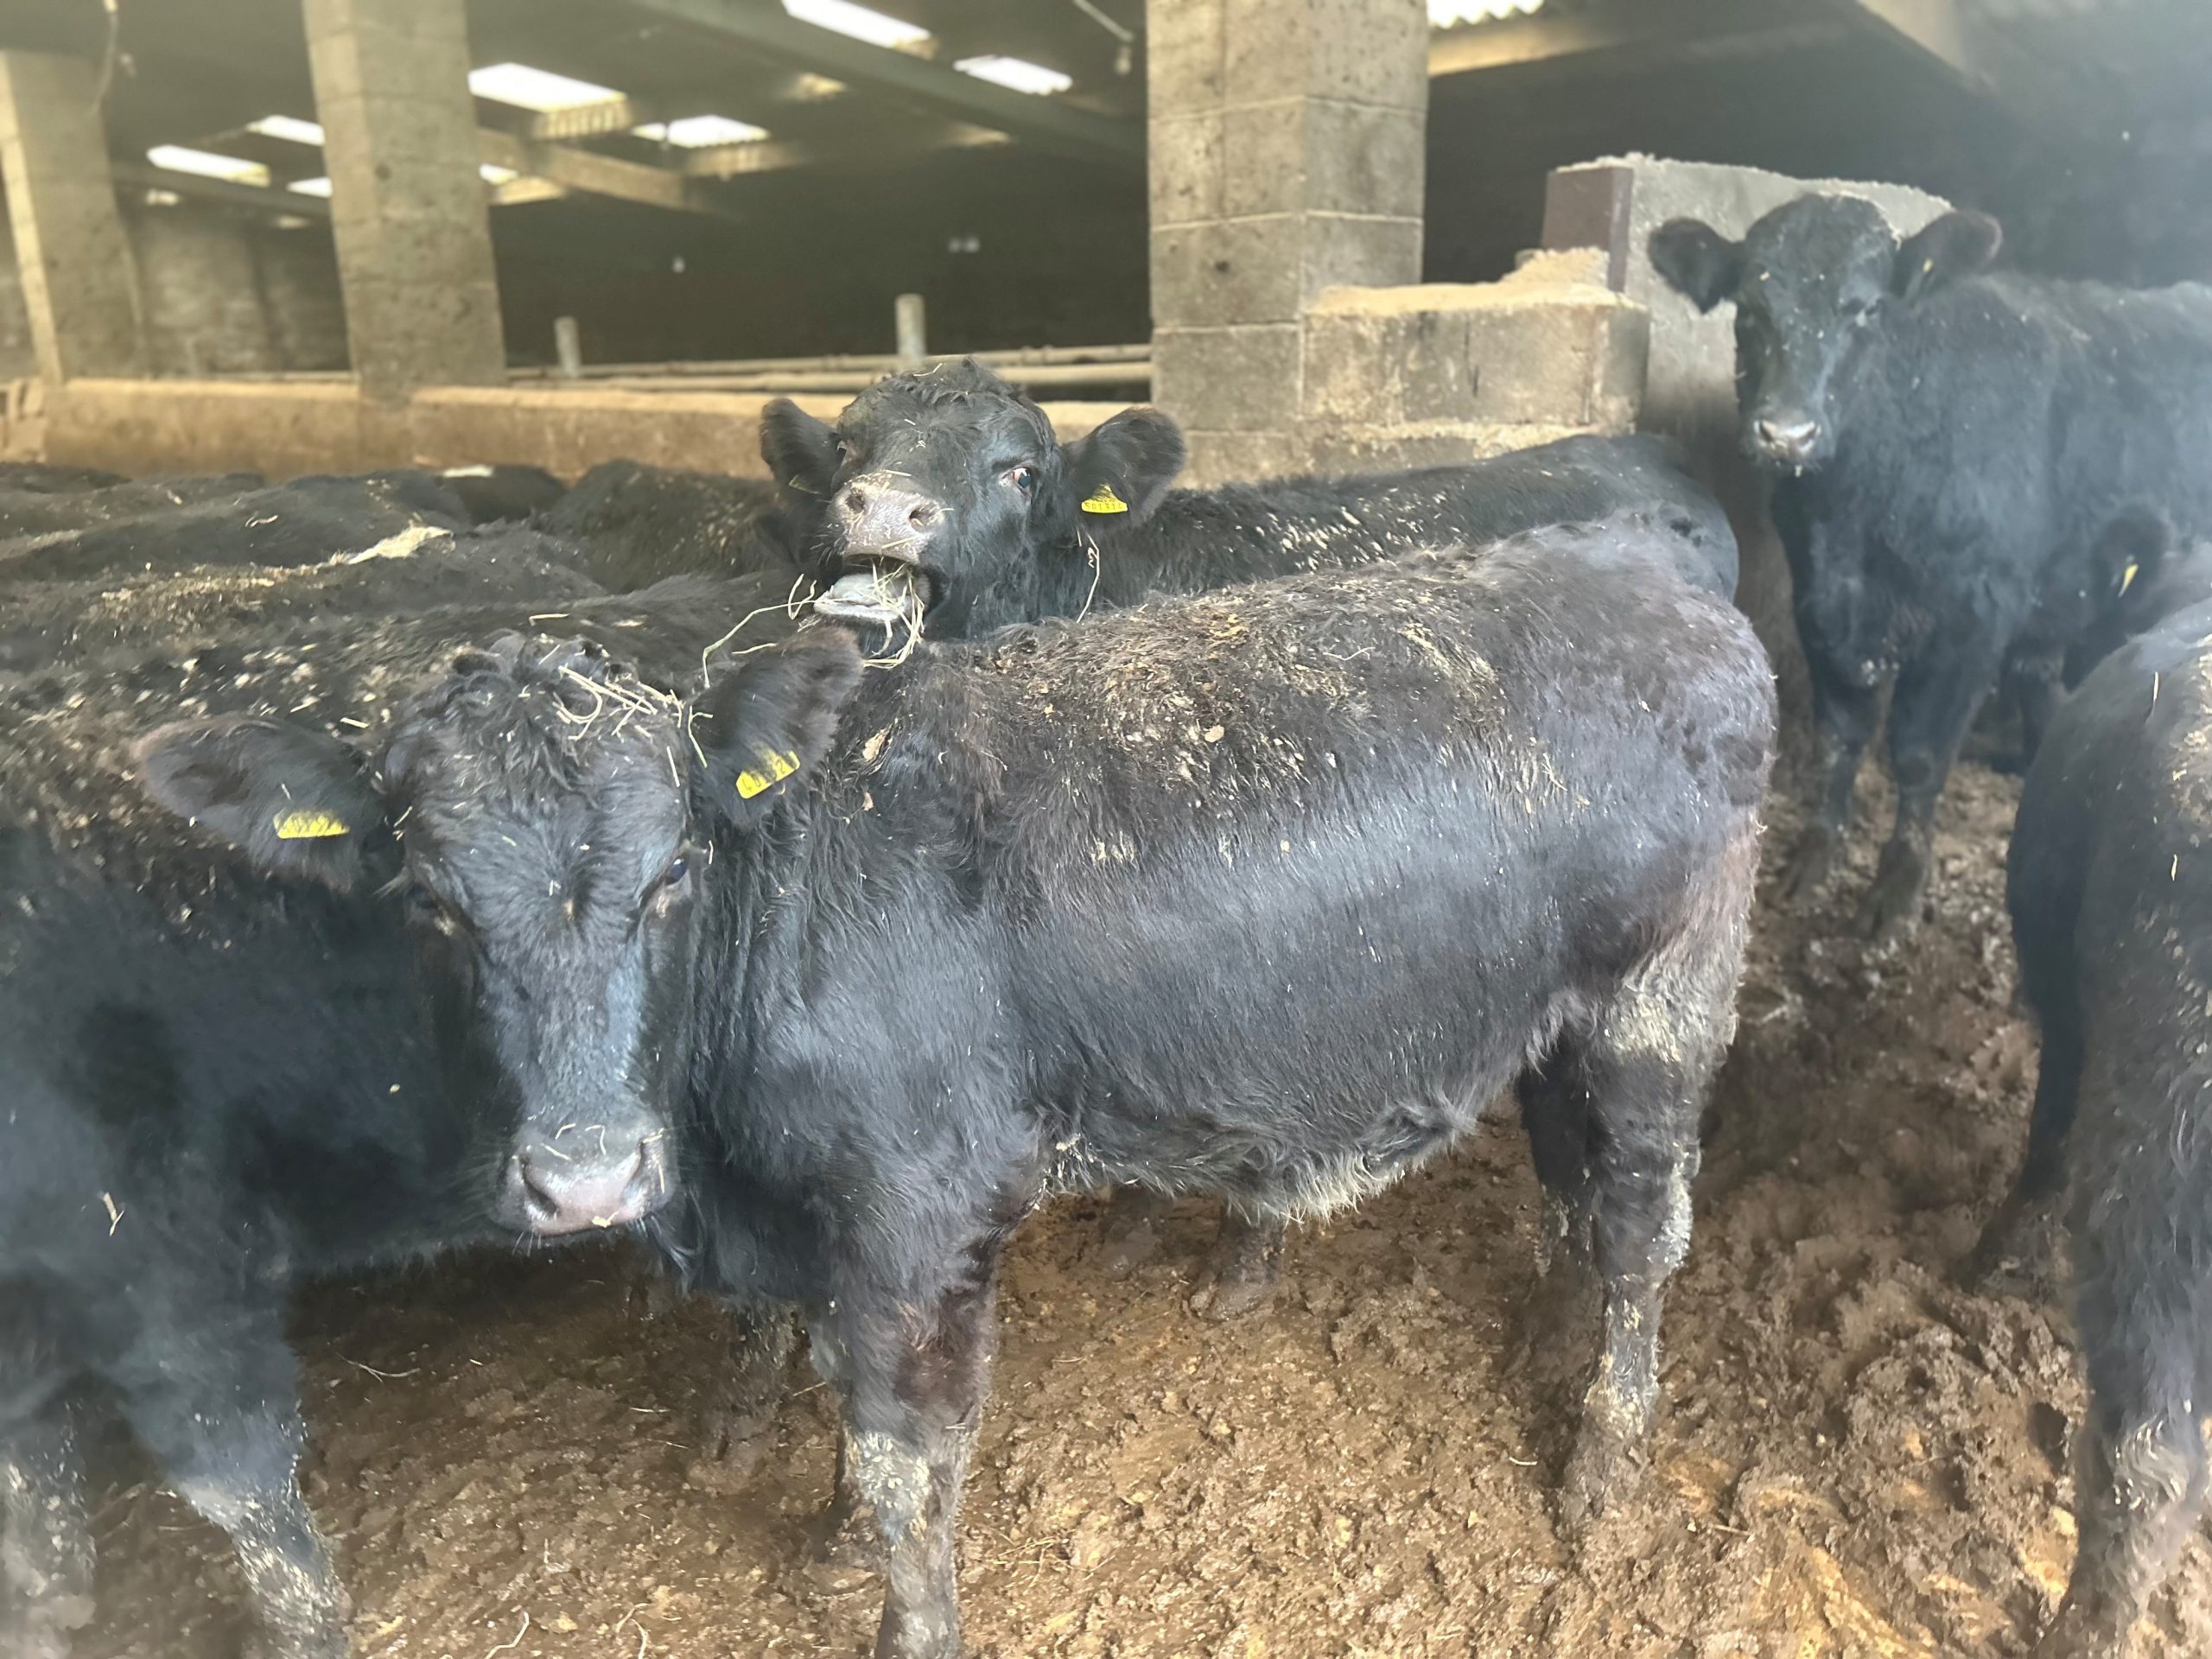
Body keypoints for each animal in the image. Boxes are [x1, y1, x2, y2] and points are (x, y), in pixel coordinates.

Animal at [0, 560, 804, 1657]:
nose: (585, 1183)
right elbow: (36, 1520)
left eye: (675, 866)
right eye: (427, 898)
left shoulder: (169, 1272)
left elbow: (246, 1499)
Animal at [210, 518, 1773, 1658]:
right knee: (1576, 1188)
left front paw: (900, 1609)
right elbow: (829, 1388)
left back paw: (1604, 1464)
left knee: (1645, 1225)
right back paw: (1557, 1344)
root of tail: (1646, 570)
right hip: (1559, 1020)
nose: (586, 1171)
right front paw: (830, 1531)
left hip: (1665, 997)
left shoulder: (917, 1203)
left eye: (672, 872)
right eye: (432, 901)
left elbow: (905, 1445)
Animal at [1649, 192, 2212, 937]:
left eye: (1865, 309)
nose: (1786, 433)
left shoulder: (1972, 622)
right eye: (1749, 310)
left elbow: (1917, 755)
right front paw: (1818, 855)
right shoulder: (1820, 607)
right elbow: (1840, 736)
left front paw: (1897, 887)